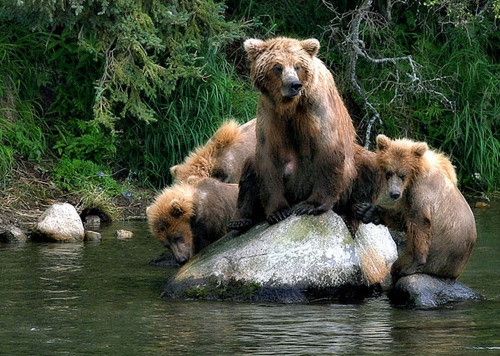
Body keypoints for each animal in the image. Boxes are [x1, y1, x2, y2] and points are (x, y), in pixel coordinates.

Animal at [227, 36, 360, 231]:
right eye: (278, 66)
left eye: (297, 66)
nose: (294, 85)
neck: (290, 106)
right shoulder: (270, 113)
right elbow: (267, 155)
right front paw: (278, 211)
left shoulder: (316, 106)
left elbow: (327, 146)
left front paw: (311, 205)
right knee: (250, 167)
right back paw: (239, 219)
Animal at [356, 135, 476, 280]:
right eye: (388, 172)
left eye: (402, 174)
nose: (394, 193)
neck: (415, 174)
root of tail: (455, 272)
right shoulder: (406, 196)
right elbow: (402, 218)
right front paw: (367, 211)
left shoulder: (419, 193)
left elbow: (419, 224)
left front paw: (413, 265)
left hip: (441, 258)